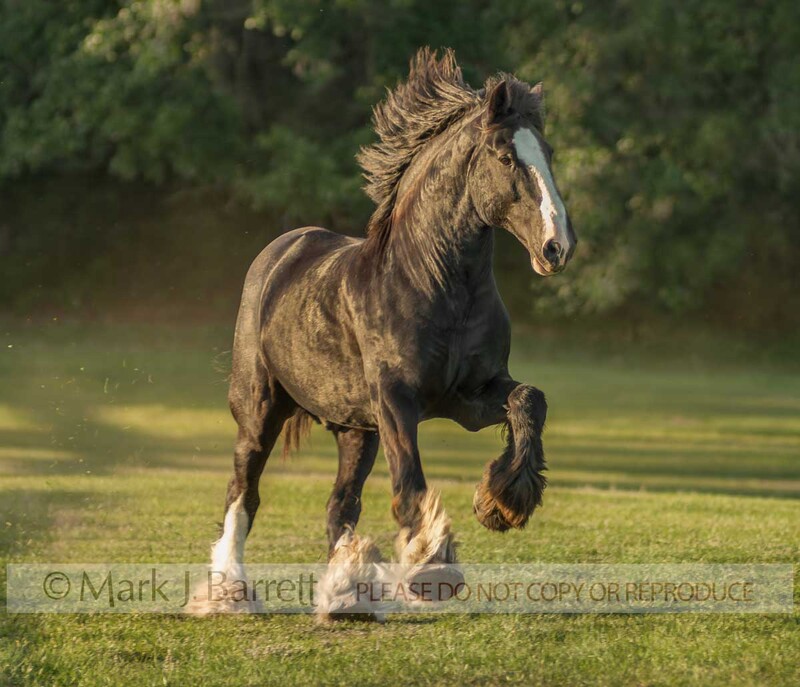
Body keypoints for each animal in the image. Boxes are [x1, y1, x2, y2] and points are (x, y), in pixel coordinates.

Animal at [191, 47, 577, 618]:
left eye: (547, 152)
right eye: (506, 157)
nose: (557, 246)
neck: (436, 283)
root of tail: (280, 253)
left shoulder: (468, 398)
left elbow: (530, 400)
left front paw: (502, 502)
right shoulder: (397, 400)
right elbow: (409, 479)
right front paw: (432, 566)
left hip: (357, 431)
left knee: (339, 504)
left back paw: (347, 593)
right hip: (259, 411)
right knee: (243, 492)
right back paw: (231, 590)